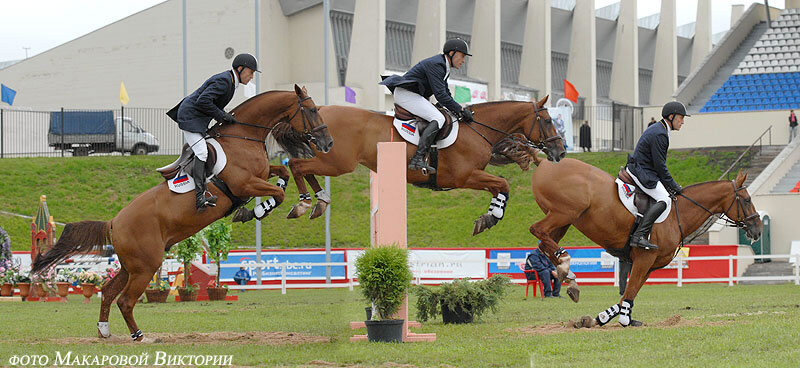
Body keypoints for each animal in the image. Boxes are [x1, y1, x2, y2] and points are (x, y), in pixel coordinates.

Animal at [31, 85, 332, 342]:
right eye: (312, 109)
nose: (327, 143)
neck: (243, 136)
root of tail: (114, 222)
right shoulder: (245, 184)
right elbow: (278, 193)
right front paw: (262, 211)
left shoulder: (260, 175)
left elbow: (283, 174)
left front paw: (304, 202)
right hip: (146, 266)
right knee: (125, 300)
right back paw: (139, 336)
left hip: (131, 266)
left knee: (108, 292)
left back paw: (105, 332)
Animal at [272, 97, 564, 236]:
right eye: (549, 121)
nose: (560, 151)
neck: (477, 129)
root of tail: (320, 112)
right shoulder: (465, 177)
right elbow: (502, 183)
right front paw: (491, 217)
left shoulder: (474, 176)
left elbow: (499, 187)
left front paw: (488, 216)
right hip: (337, 162)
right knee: (297, 164)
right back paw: (304, 203)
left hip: (331, 161)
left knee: (304, 167)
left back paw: (320, 201)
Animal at [528, 157, 760, 326]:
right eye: (747, 200)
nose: (757, 229)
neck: (677, 215)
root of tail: (544, 162)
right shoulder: (644, 258)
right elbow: (630, 291)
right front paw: (623, 320)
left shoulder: (649, 265)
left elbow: (627, 294)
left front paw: (601, 319)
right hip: (563, 213)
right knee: (537, 230)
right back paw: (565, 265)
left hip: (564, 221)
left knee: (543, 244)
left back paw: (569, 277)